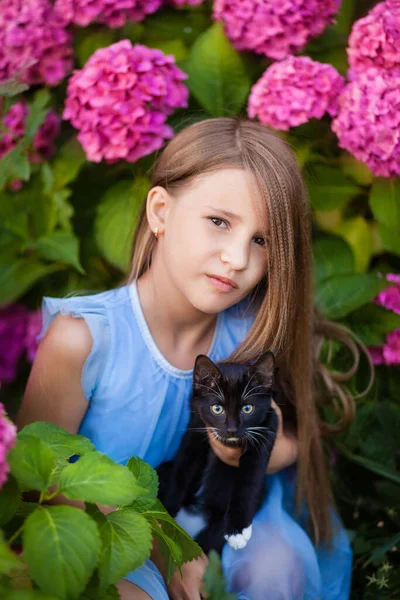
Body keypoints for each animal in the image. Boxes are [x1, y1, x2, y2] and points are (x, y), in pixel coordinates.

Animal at [155, 352, 280, 552]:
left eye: (247, 408)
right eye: (217, 408)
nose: (231, 430)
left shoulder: (269, 426)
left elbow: (250, 479)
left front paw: (237, 530)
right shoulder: (196, 423)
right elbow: (183, 466)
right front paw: (168, 512)